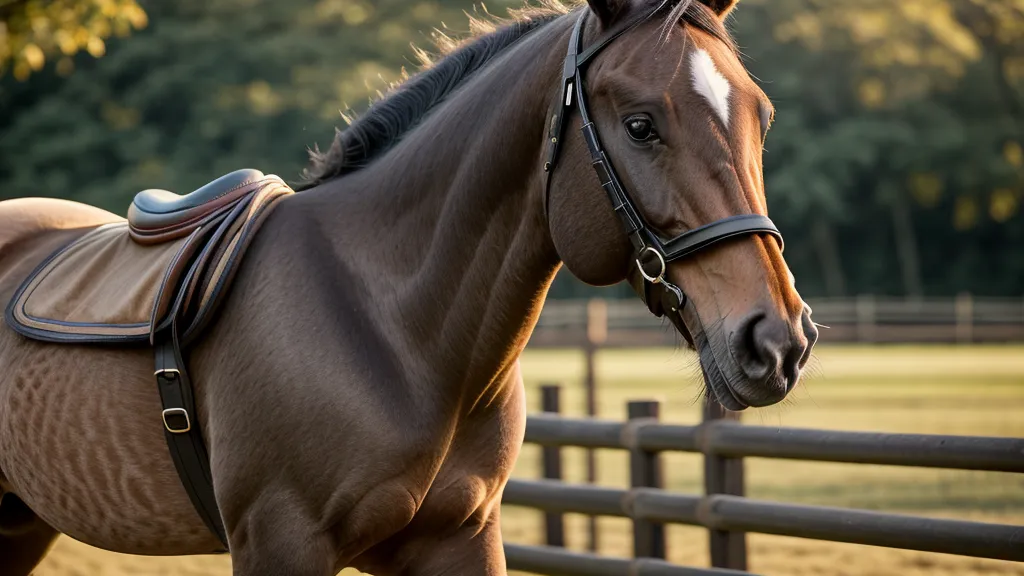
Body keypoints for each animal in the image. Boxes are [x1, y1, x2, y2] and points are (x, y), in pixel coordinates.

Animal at [0, 0, 817, 574]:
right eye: (642, 124)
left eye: (760, 117)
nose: (778, 341)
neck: (394, 329)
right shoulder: (279, 544)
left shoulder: (461, 540)